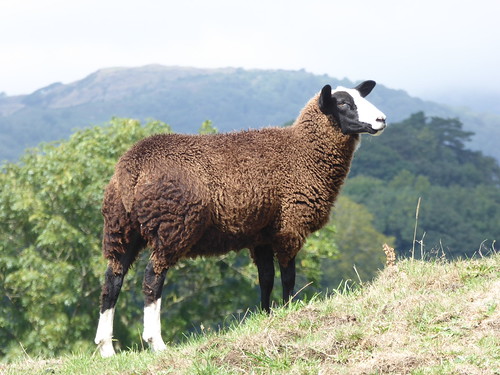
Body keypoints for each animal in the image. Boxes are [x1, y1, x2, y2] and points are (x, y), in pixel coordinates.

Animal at [95, 81, 388, 356]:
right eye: (343, 103)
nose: (382, 119)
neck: (303, 153)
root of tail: (133, 167)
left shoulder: (262, 236)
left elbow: (266, 278)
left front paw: (266, 316)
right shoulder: (290, 226)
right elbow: (288, 276)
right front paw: (289, 311)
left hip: (121, 227)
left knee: (112, 280)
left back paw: (106, 347)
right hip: (172, 225)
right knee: (152, 278)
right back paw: (155, 341)